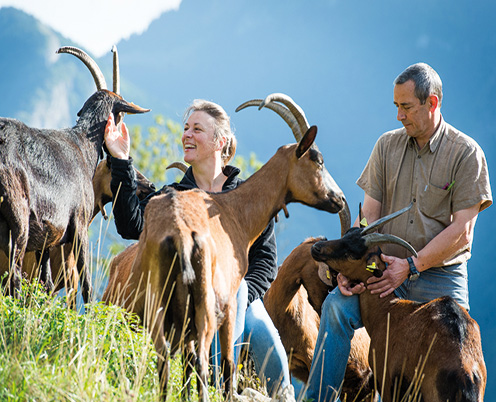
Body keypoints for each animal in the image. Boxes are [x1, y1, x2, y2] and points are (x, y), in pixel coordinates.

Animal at [0, 46, 149, 302]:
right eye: (120, 116)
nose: (150, 186)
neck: (82, 143)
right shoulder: (79, 224)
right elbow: (86, 285)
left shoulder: (48, 237)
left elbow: (46, 282)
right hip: (17, 218)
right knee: (14, 277)